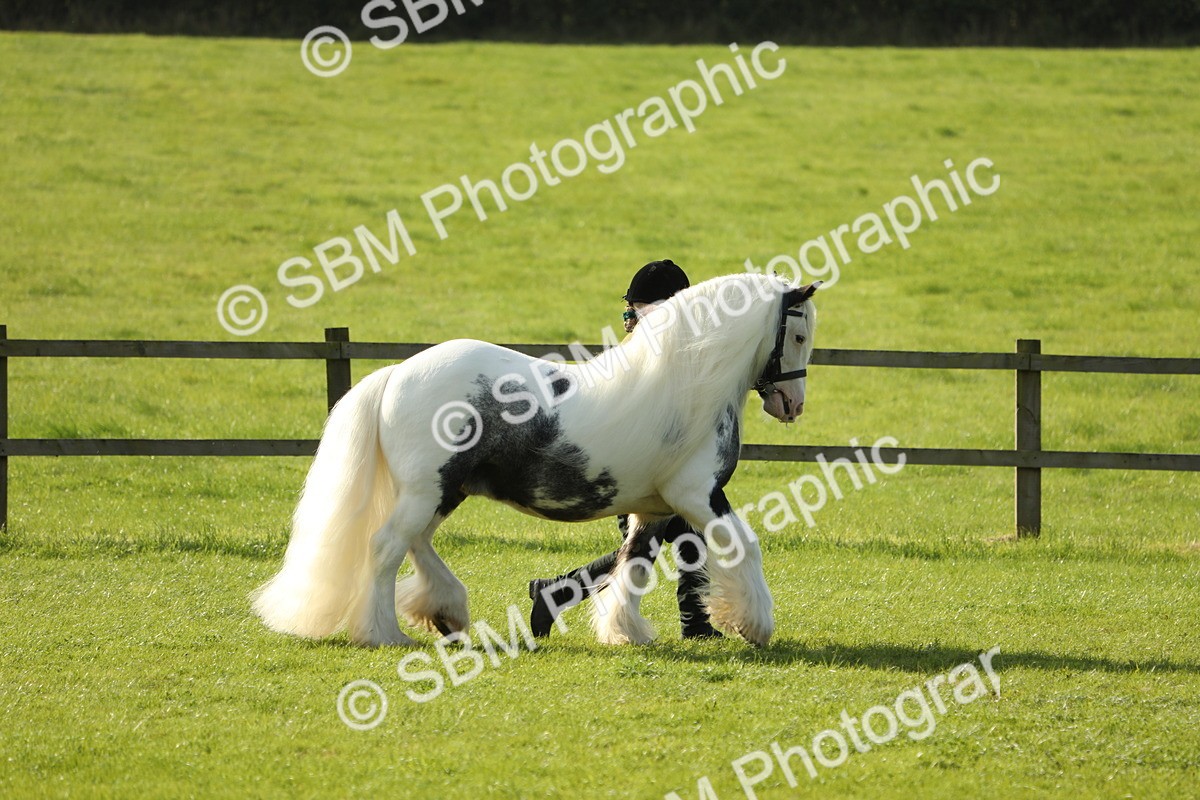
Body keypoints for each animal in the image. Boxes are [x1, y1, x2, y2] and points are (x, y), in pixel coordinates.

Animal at [252, 273, 820, 648]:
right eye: (797, 335)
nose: (792, 405)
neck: (688, 385)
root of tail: (397, 373)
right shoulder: (698, 496)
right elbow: (746, 547)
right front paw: (754, 625)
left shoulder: (654, 509)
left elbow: (632, 567)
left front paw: (626, 632)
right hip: (427, 491)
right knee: (387, 547)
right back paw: (384, 633)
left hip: (441, 492)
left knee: (415, 544)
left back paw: (447, 612)